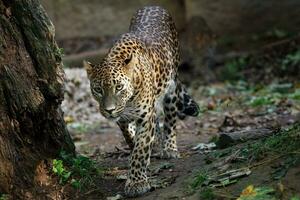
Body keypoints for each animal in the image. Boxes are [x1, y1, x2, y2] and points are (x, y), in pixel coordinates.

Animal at [84, 5, 199, 197]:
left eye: (119, 87)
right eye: (98, 89)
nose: (109, 110)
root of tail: (153, 6)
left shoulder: (145, 116)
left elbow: (140, 149)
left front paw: (137, 183)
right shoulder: (123, 119)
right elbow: (131, 138)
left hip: (171, 89)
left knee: (170, 120)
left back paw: (169, 148)